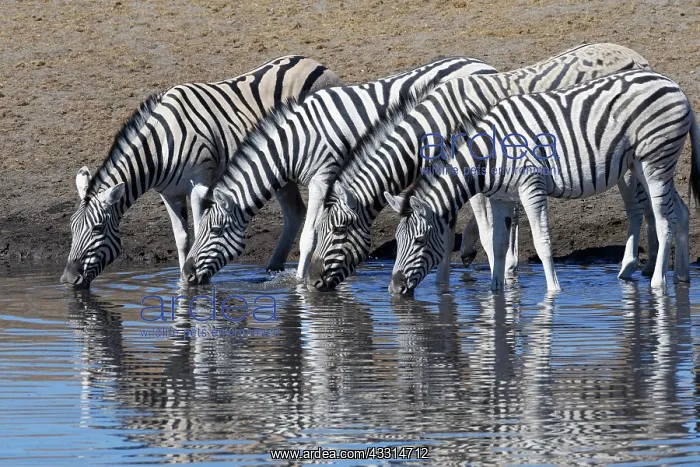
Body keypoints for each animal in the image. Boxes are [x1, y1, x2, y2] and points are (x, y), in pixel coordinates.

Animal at [60, 55, 342, 288]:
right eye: (72, 228)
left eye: (97, 229)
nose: (68, 279)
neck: (161, 146)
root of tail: (315, 62)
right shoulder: (169, 194)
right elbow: (182, 238)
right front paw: (183, 280)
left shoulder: (200, 184)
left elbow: (198, 230)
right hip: (279, 166)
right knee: (295, 211)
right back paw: (273, 269)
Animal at [180, 57, 499, 285]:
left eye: (215, 230)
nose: (186, 275)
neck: (298, 140)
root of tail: (484, 66)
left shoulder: (323, 177)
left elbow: (309, 235)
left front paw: (300, 283)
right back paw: (468, 248)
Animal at [307, 43, 654, 292]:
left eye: (337, 231)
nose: (311, 283)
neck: (436, 126)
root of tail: (637, 56)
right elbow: (446, 231)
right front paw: (442, 285)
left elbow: (487, 235)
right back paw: (650, 268)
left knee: (639, 204)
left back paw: (635, 268)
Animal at [387, 69, 699, 294]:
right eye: (397, 241)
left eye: (419, 240)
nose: (394, 288)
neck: (490, 154)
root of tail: (675, 86)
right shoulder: (501, 198)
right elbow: (498, 244)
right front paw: (496, 291)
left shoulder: (531, 187)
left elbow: (542, 242)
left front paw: (553, 291)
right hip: (647, 164)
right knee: (681, 212)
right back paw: (682, 277)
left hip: (655, 159)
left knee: (664, 220)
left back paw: (658, 283)